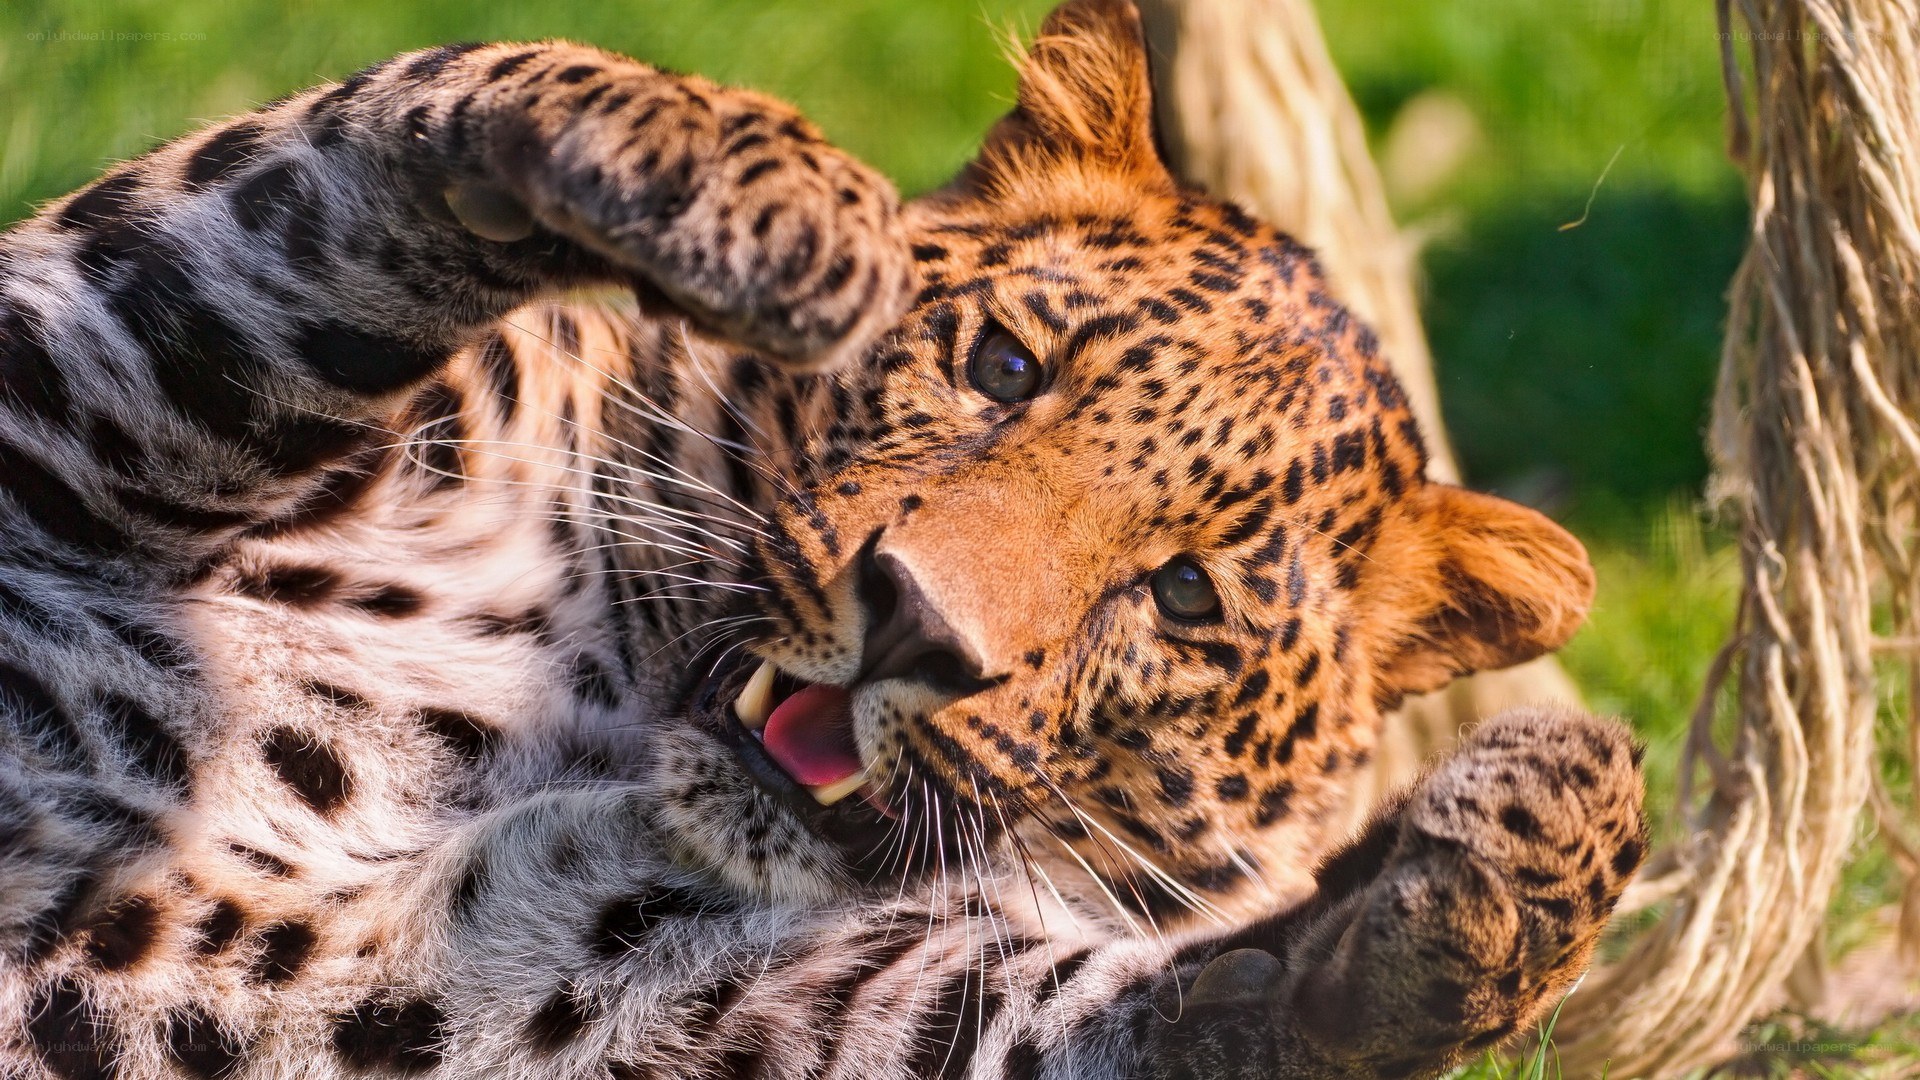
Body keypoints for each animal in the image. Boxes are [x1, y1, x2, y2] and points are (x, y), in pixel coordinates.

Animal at [0, 1, 1647, 1077]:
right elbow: (346, 178)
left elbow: (1107, 1012)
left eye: (1183, 597)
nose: (916, 620)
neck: (577, 697)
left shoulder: (545, 969)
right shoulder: (62, 388)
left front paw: (1525, 847)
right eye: (1003, 367)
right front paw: (753, 192)